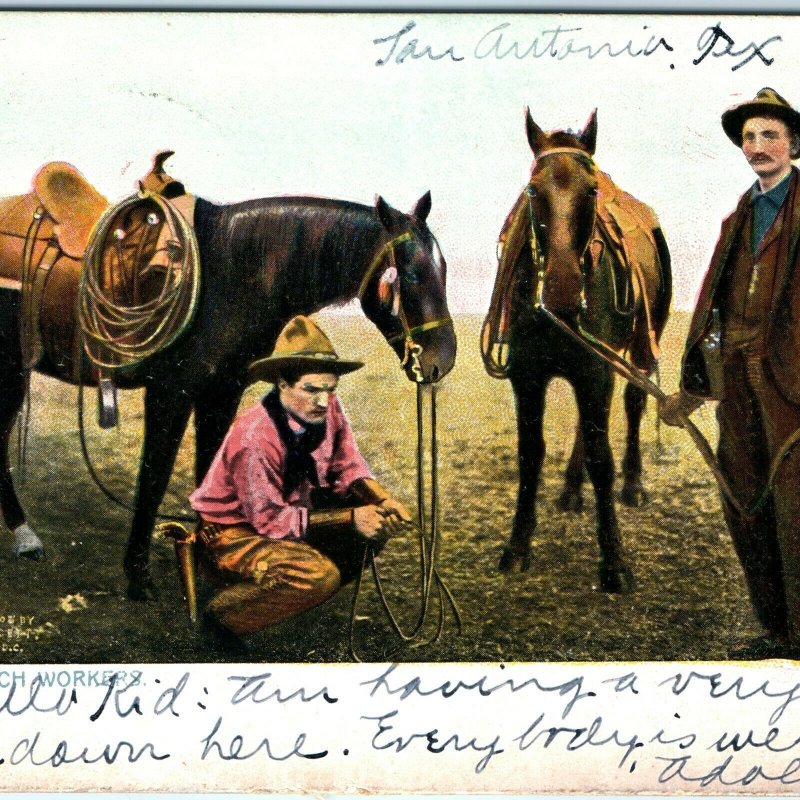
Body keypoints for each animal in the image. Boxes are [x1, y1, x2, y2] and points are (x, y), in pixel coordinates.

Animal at [0, 161, 456, 600]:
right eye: (411, 274)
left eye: (444, 268)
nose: (442, 361)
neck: (234, 272)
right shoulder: (170, 393)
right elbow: (154, 477)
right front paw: (138, 576)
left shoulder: (221, 391)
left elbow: (210, 466)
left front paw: (213, 560)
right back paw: (25, 537)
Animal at [484, 109, 672, 592]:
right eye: (534, 190)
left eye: (590, 191)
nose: (564, 291)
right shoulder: (527, 377)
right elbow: (530, 454)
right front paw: (517, 546)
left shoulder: (595, 372)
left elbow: (602, 458)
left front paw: (614, 562)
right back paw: (571, 489)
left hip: (639, 347)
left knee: (632, 403)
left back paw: (633, 484)